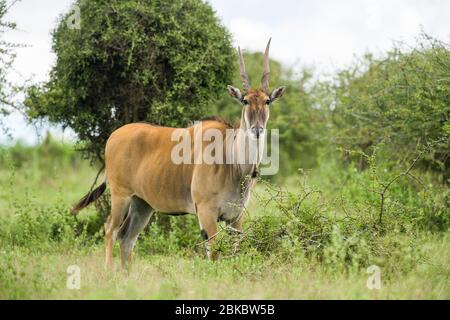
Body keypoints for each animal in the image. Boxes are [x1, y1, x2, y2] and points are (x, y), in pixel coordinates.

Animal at [72, 39, 286, 268]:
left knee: (127, 237)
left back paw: (125, 273)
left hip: (142, 204)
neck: (233, 165)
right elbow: (214, 254)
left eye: (267, 101)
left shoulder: (235, 218)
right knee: (110, 230)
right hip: (121, 196)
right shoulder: (206, 213)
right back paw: (110, 271)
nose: (257, 129)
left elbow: (232, 253)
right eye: (245, 101)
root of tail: (113, 137)